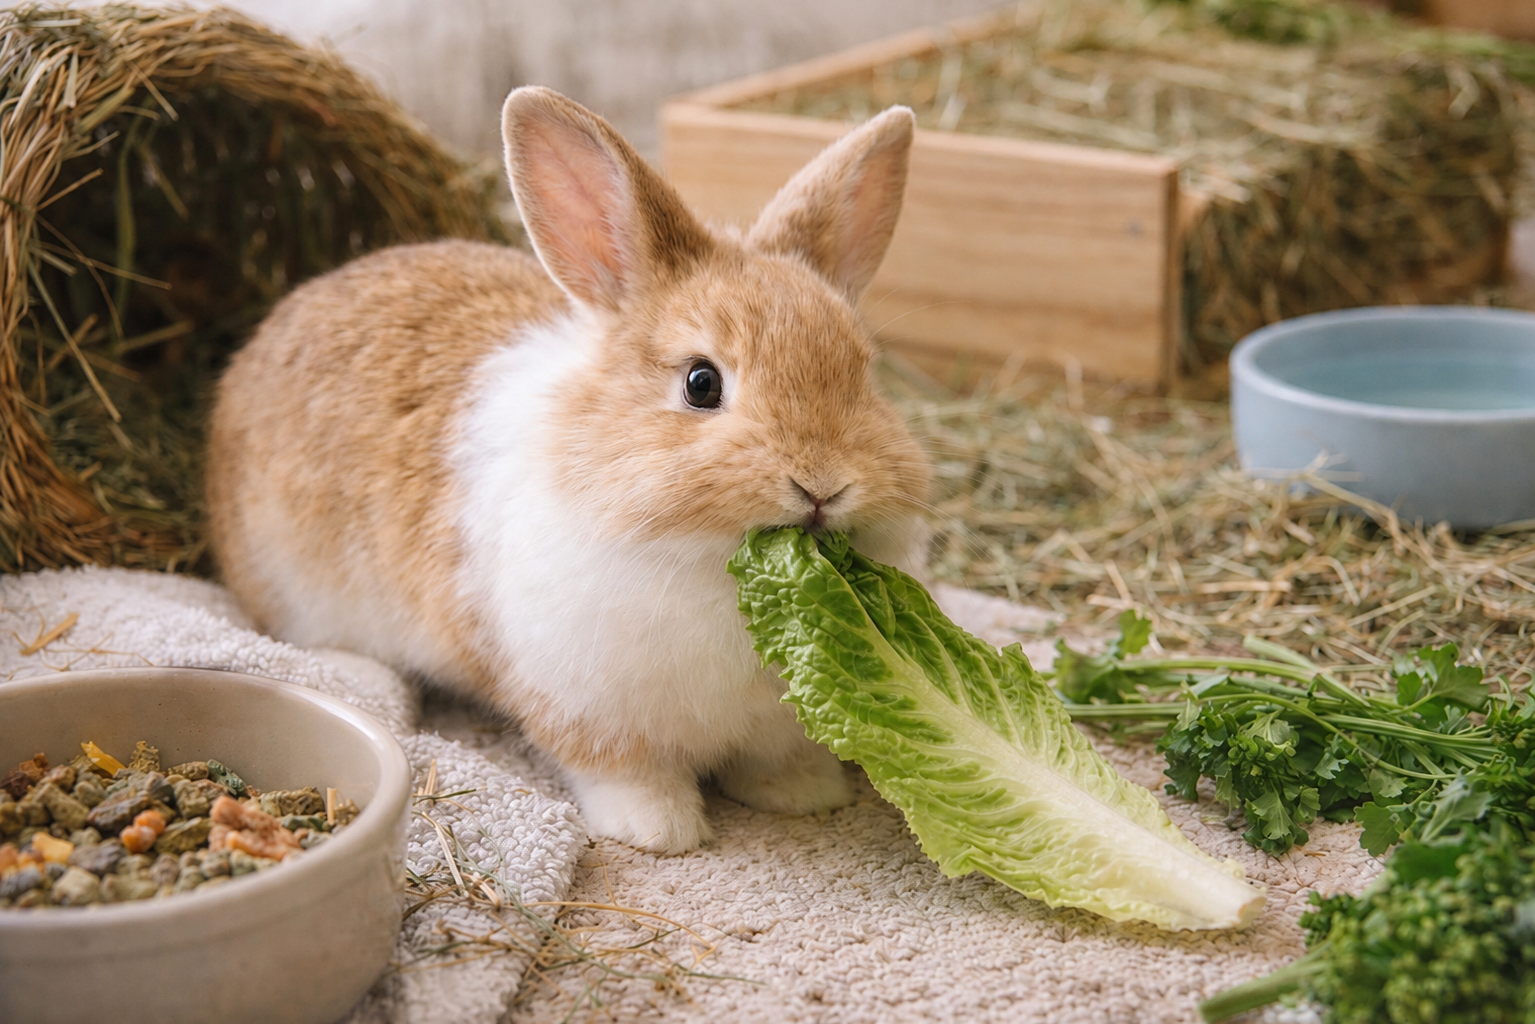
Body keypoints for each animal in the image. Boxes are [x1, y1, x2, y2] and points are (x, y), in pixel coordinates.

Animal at [206, 86, 931, 854]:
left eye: (864, 375)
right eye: (701, 384)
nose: (822, 485)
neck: (712, 563)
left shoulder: (772, 728)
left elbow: (774, 763)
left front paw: (805, 797)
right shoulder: (586, 713)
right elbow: (623, 773)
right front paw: (658, 830)